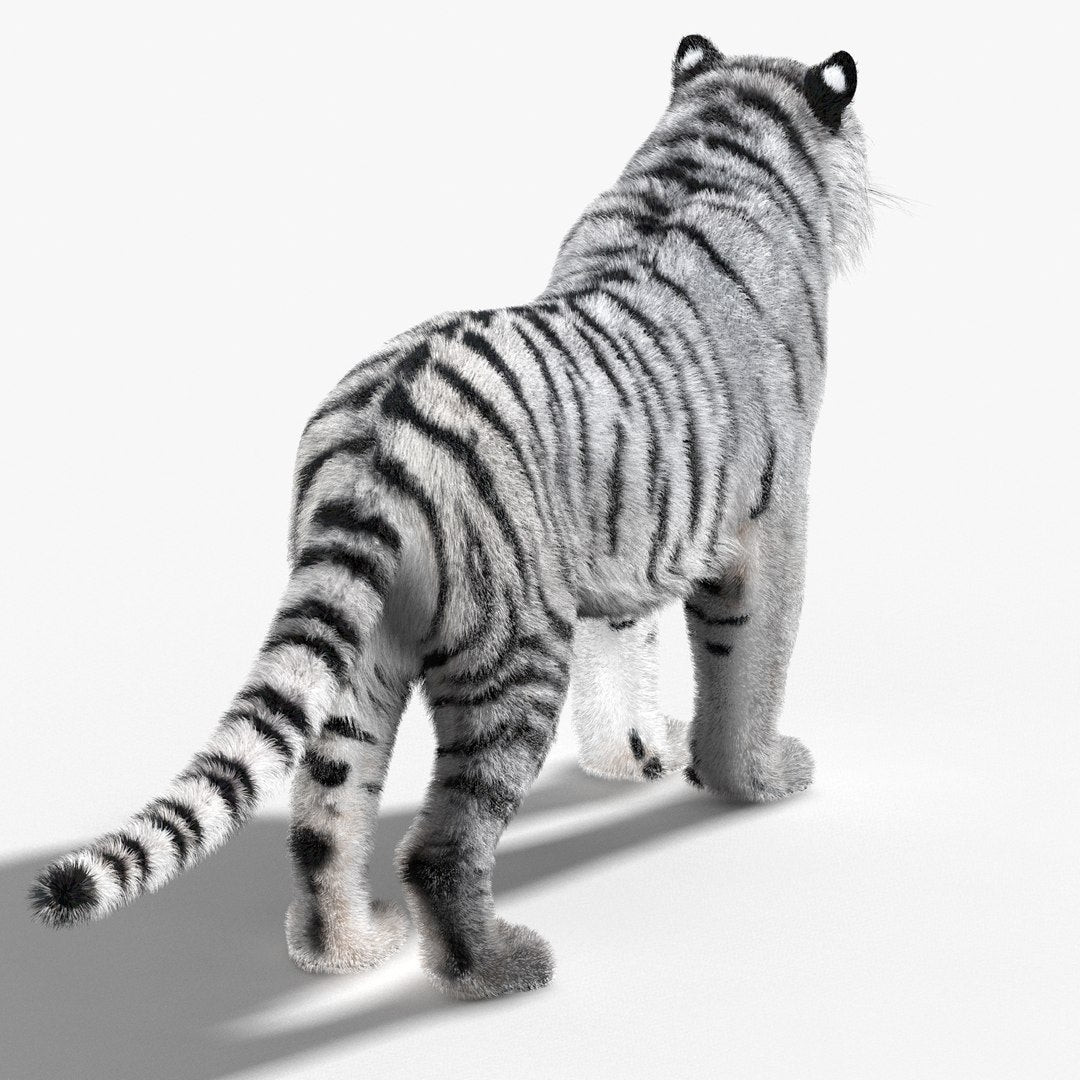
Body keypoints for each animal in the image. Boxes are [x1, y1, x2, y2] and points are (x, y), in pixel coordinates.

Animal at [30, 36, 873, 1001]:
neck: (714, 144)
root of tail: (380, 429)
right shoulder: (770, 523)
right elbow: (751, 667)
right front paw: (755, 777)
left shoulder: (625, 527)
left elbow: (625, 647)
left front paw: (635, 756)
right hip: (513, 651)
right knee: (439, 844)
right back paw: (498, 967)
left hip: (359, 652)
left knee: (324, 818)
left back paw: (349, 950)